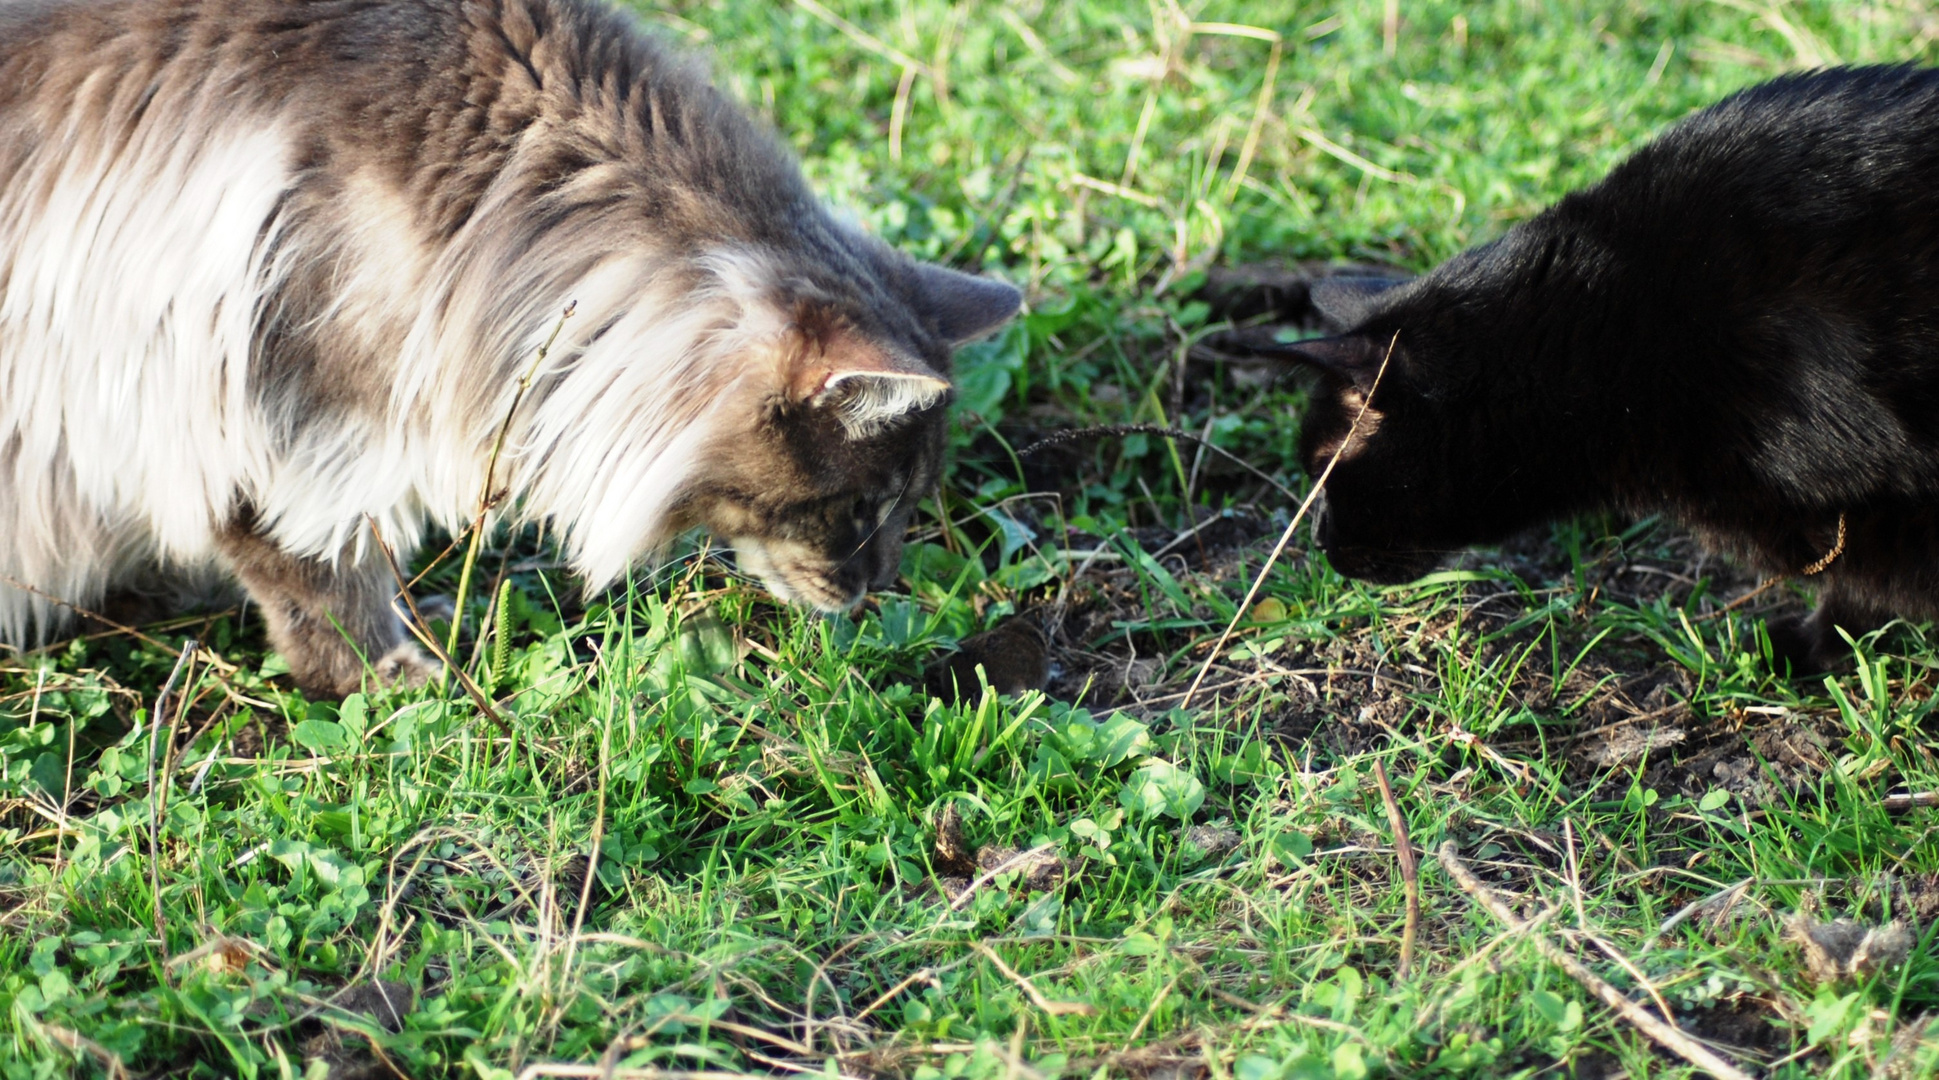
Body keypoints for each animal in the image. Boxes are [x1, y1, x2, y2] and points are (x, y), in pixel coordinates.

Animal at [0, 0, 1023, 690]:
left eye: (905, 505)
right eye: (857, 506)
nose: (870, 591)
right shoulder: (261, 395)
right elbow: (311, 567)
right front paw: (387, 676)